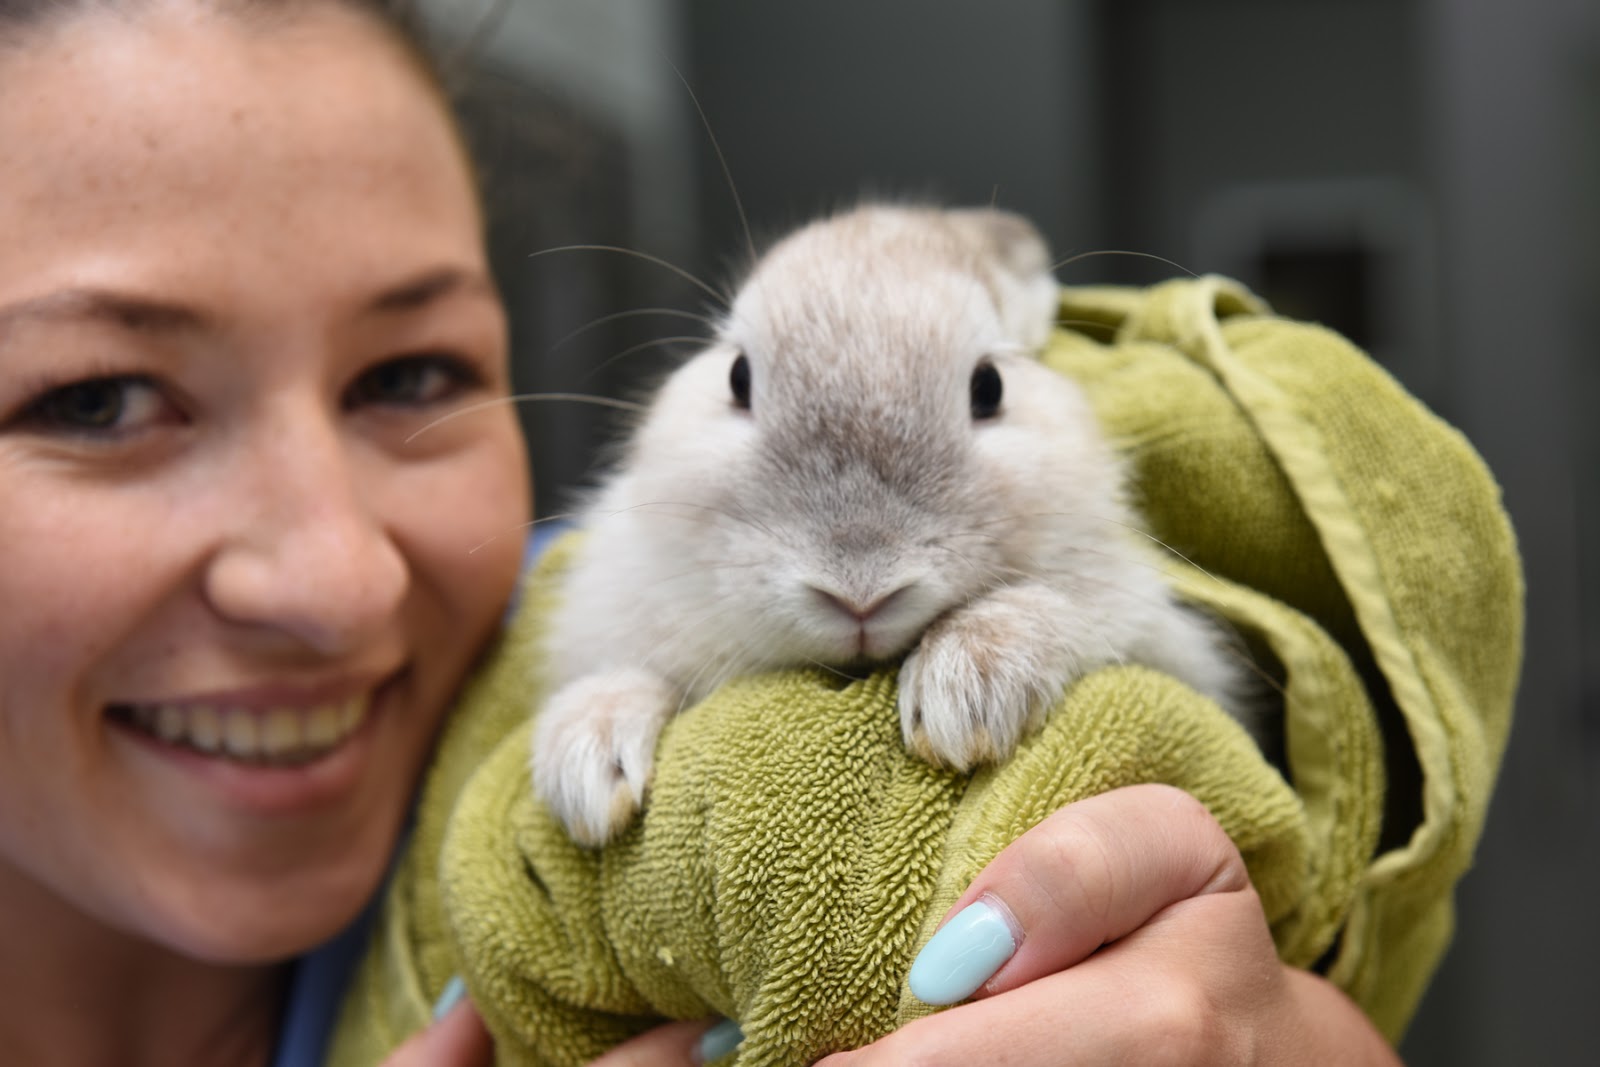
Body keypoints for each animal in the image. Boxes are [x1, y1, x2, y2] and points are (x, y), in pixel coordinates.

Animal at [530, 203, 1251, 847]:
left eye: (990, 387)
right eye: (736, 376)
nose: (859, 593)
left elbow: (1066, 606)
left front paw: (966, 694)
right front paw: (585, 767)